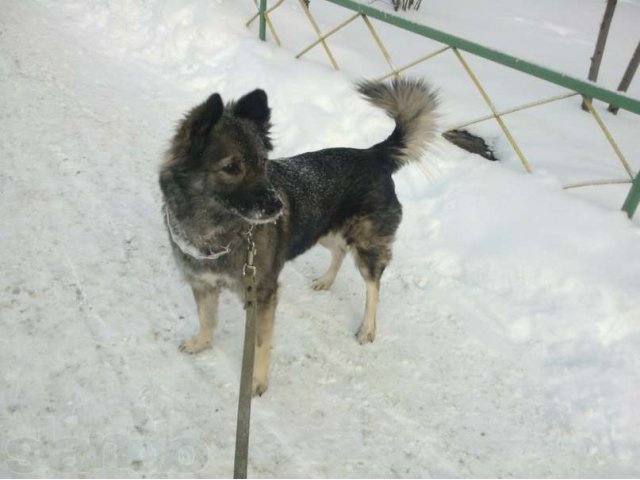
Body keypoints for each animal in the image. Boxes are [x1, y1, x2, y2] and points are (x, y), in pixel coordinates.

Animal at [160, 78, 440, 394]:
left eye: (263, 162)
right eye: (231, 167)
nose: (278, 206)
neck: (217, 229)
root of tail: (373, 154)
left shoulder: (262, 296)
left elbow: (260, 343)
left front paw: (256, 381)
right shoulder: (202, 283)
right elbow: (206, 318)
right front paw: (202, 343)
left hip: (367, 246)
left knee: (373, 286)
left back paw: (367, 328)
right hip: (322, 229)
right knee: (339, 251)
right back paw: (326, 281)